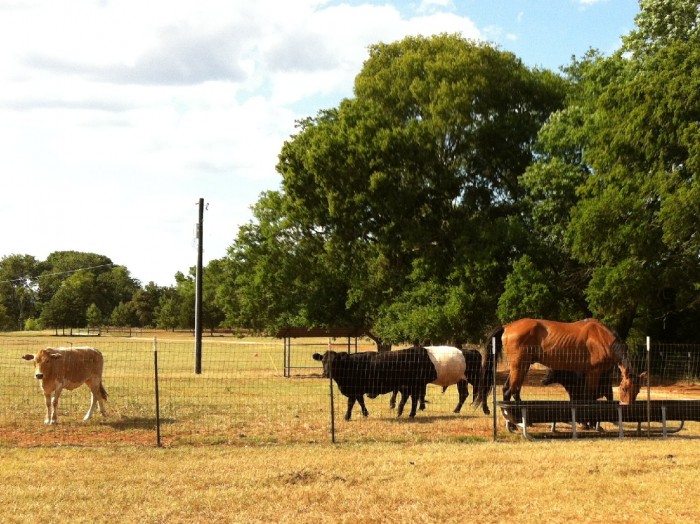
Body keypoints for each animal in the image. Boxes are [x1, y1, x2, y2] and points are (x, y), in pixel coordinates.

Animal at [486, 318, 644, 404]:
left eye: (637, 391)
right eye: (624, 389)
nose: (627, 406)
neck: (601, 338)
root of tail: (507, 327)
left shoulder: (603, 374)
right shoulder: (593, 372)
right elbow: (589, 396)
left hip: (521, 367)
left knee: (510, 390)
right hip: (519, 366)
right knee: (511, 390)